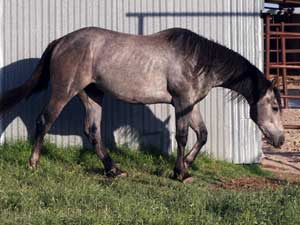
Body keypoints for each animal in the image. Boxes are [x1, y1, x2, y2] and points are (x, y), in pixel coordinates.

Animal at [0, 27, 284, 182]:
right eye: (275, 107)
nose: (280, 140)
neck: (198, 60)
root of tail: (60, 41)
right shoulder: (181, 102)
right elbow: (182, 137)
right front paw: (181, 173)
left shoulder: (190, 104)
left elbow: (202, 135)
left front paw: (186, 165)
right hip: (63, 91)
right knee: (44, 121)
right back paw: (33, 163)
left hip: (92, 95)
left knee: (92, 132)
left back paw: (113, 170)